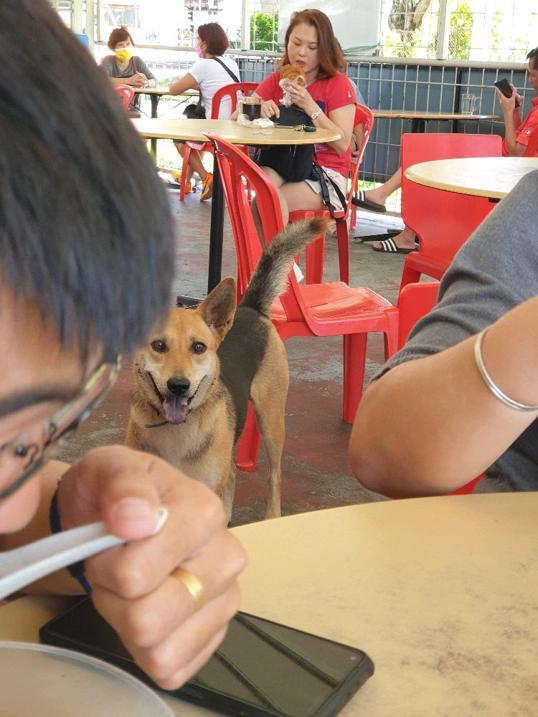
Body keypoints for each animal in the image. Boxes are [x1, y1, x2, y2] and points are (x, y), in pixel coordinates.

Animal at [126, 218, 322, 520]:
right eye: (158, 345)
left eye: (198, 347)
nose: (178, 386)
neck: (177, 430)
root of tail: (250, 308)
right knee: (231, 474)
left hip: (272, 421)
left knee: (274, 475)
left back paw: (272, 515)